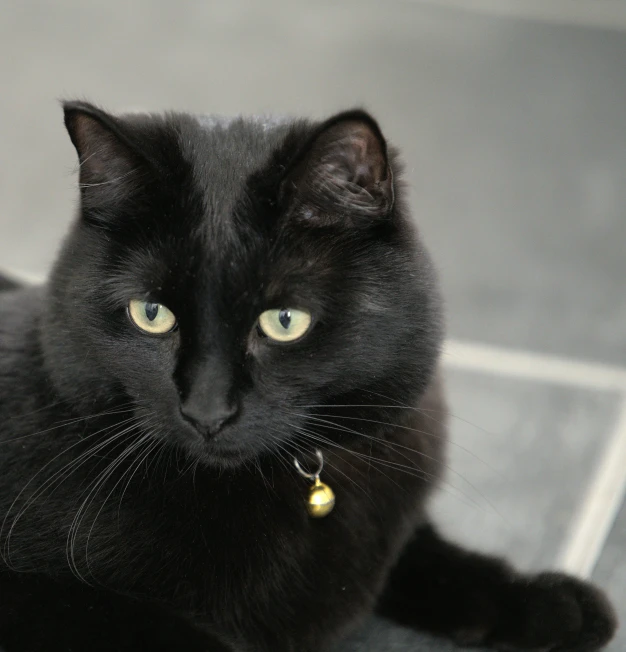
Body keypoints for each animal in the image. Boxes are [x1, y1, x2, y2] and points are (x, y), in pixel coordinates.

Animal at [0, 103, 616, 652]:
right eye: (151, 314)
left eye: (284, 321)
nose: (207, 410)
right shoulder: (42, 595)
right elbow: (169, 633)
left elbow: (433, 558)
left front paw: (550, 602)